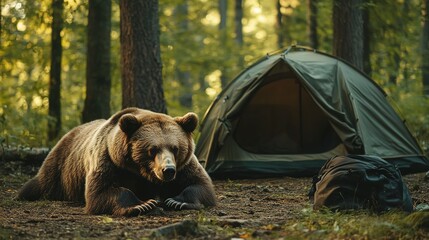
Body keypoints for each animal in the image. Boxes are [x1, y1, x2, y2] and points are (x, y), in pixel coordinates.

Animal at [15, 108, 217, 217]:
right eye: (153, 149)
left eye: (175, 148)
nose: (167, 170)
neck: (141, 171)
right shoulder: (110, 161)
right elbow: (101, 192)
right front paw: (143, 204)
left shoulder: (184, 166)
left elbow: (201, 184)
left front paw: (176, 201)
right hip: (58, 168)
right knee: (37, 184)